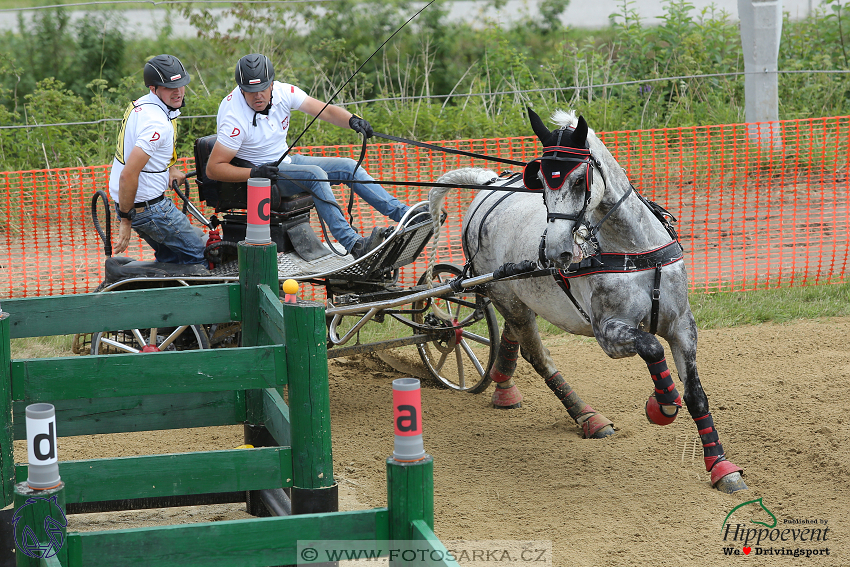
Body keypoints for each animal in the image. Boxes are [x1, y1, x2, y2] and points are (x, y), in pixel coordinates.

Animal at [430, 108, 744, 494]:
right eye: (542, 183)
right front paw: (661, 406)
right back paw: (587, 416)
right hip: (507, 298)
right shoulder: (609, 334)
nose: (557, 252)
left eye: (580, 180)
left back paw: (504, 384)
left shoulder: (682, 324)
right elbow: (652, 346)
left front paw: (721, 466)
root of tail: (487, 186)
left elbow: (696, 394)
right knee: (537, 354)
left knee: (513, 337)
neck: (633, 251)